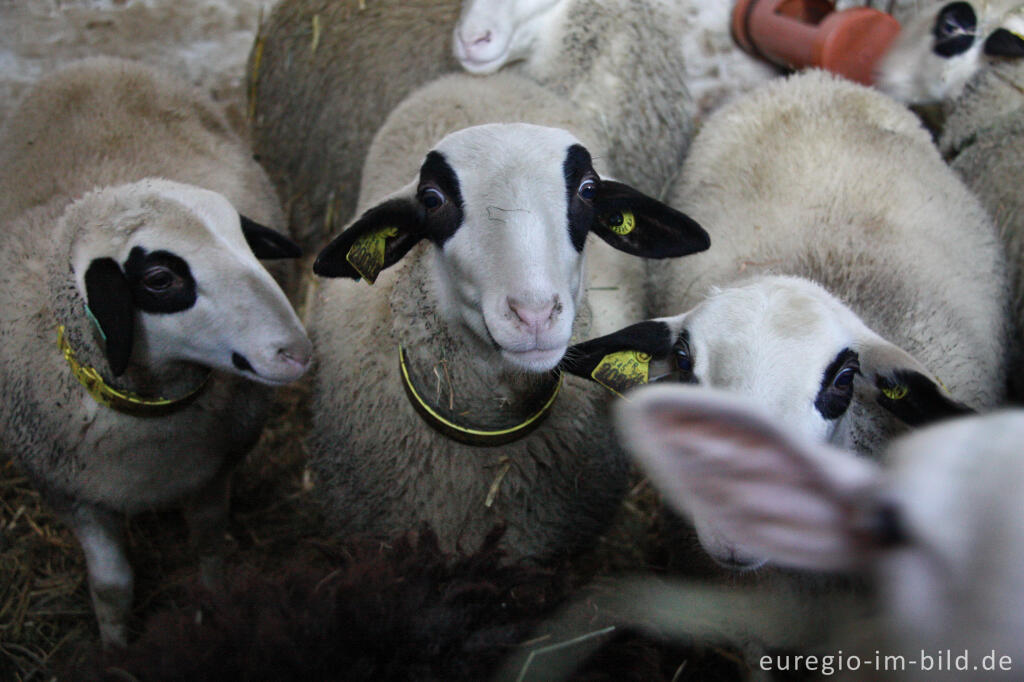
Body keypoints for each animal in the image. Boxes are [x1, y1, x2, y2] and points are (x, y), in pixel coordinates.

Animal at [0, 57, 311, 643]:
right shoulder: (69, 491)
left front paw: (215, 606)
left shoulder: (214, 468)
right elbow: (112, 586)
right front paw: (116, 648)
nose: (296, 353)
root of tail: (97, 62)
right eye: (161, 279)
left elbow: (208, 546)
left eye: (247, 241)